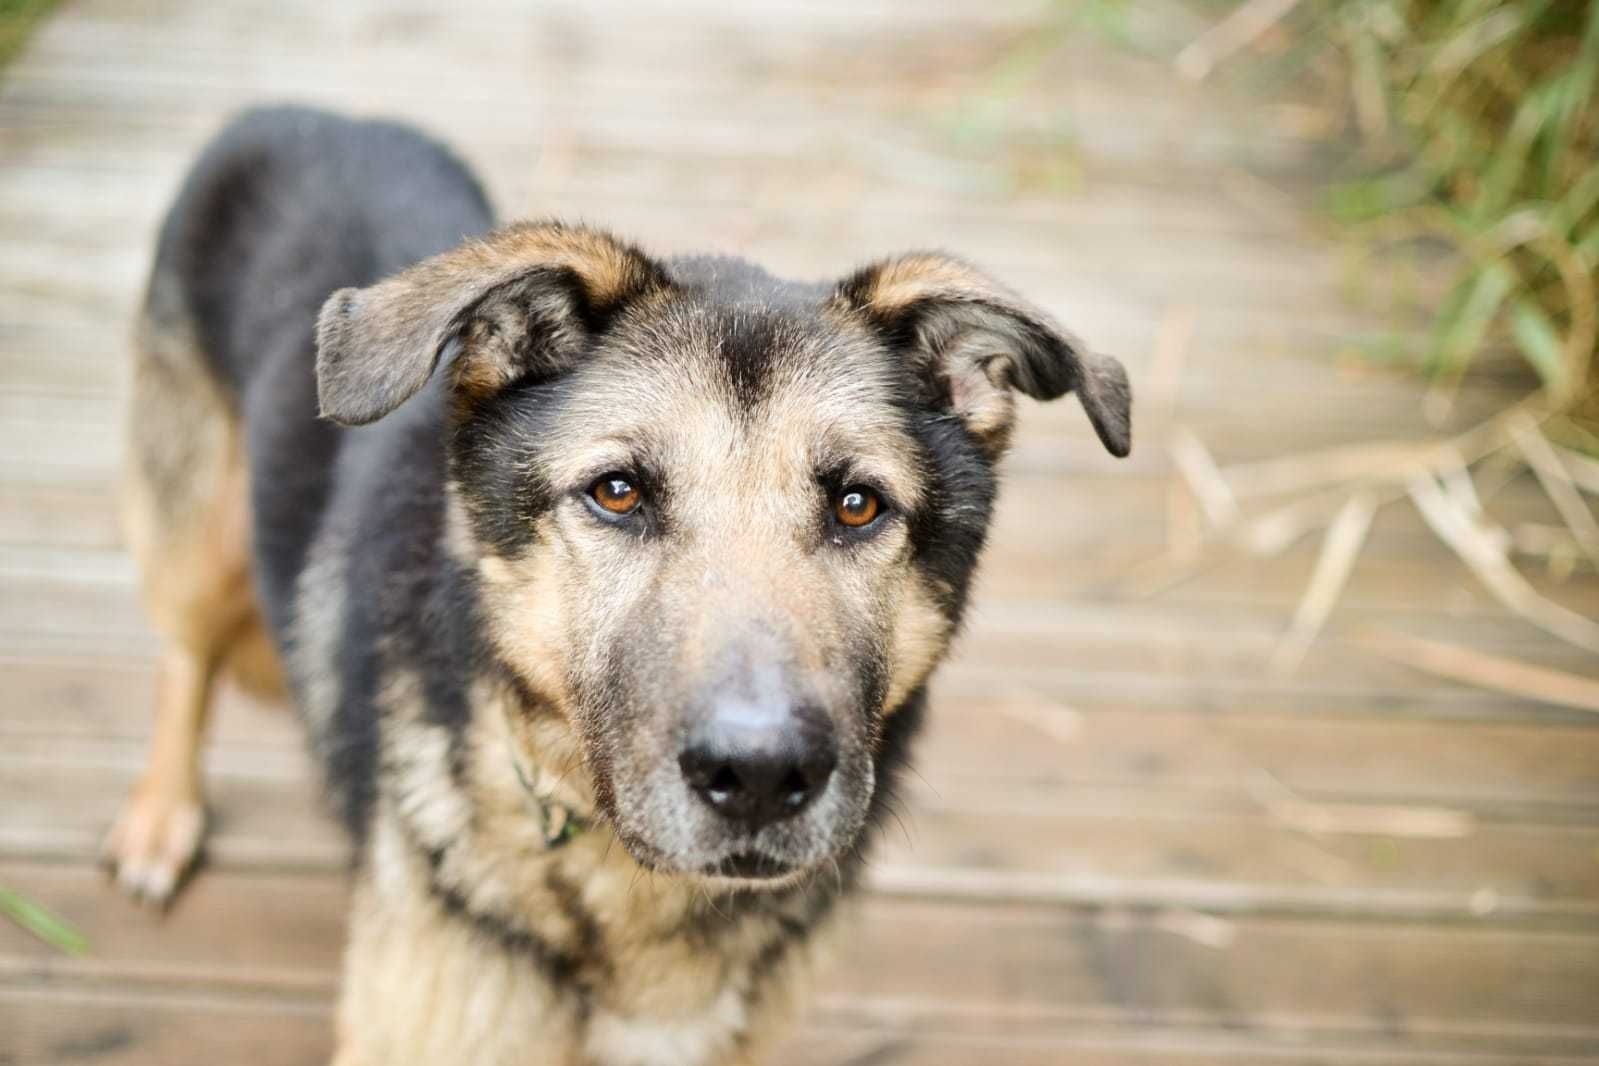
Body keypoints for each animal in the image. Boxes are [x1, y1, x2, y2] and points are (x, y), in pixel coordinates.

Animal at [106, 110, 1132, 1066]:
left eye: (856, 505)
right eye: (617, 492)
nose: (760, 779)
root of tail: (298, 113)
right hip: (197, 543)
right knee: (183, 653)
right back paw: (161, 817)